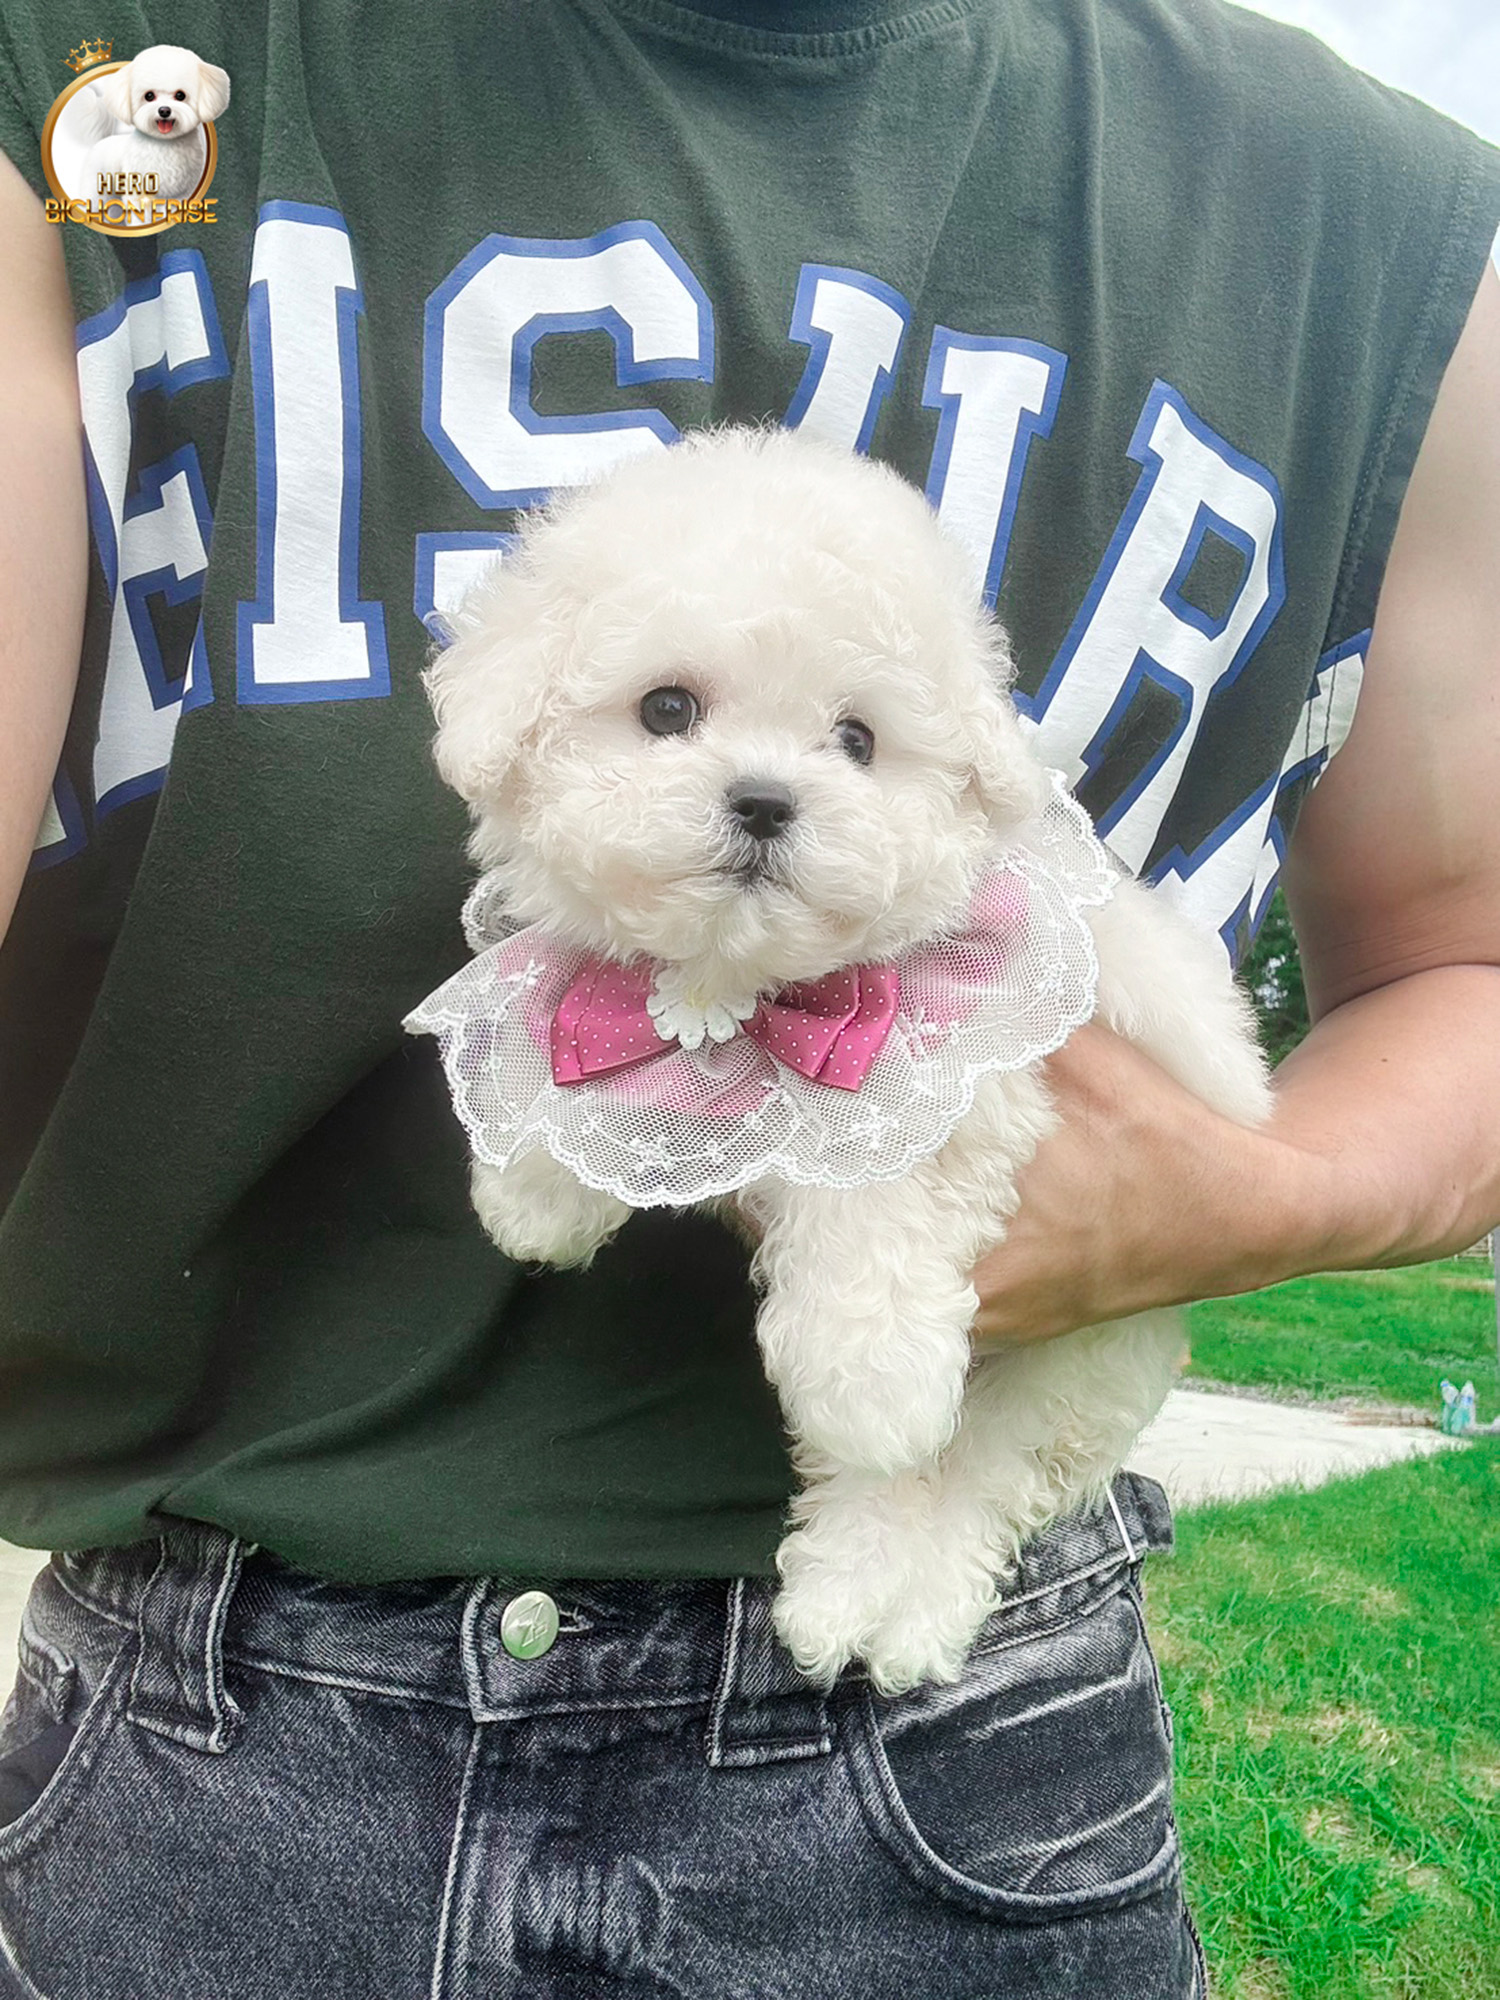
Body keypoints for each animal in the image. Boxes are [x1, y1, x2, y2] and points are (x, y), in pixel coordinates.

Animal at [61, 47, 229, 204]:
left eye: (180, 95)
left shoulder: (183, 194)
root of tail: (103, 139)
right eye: (149, 96)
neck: (165, 146)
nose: (164, 110)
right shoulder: (138, 193)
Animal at [408, 426, 1271, 1692]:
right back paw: (843, 1597)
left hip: (1087, 1352)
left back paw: (903, 1575)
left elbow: (877, 1197)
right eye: (667, 707)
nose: (766, 801)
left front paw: (870, 1370)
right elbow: (588, 1066)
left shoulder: (962, 1080)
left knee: (969, 1476)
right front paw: (536, 1195)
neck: (740, 987)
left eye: (859, 741)